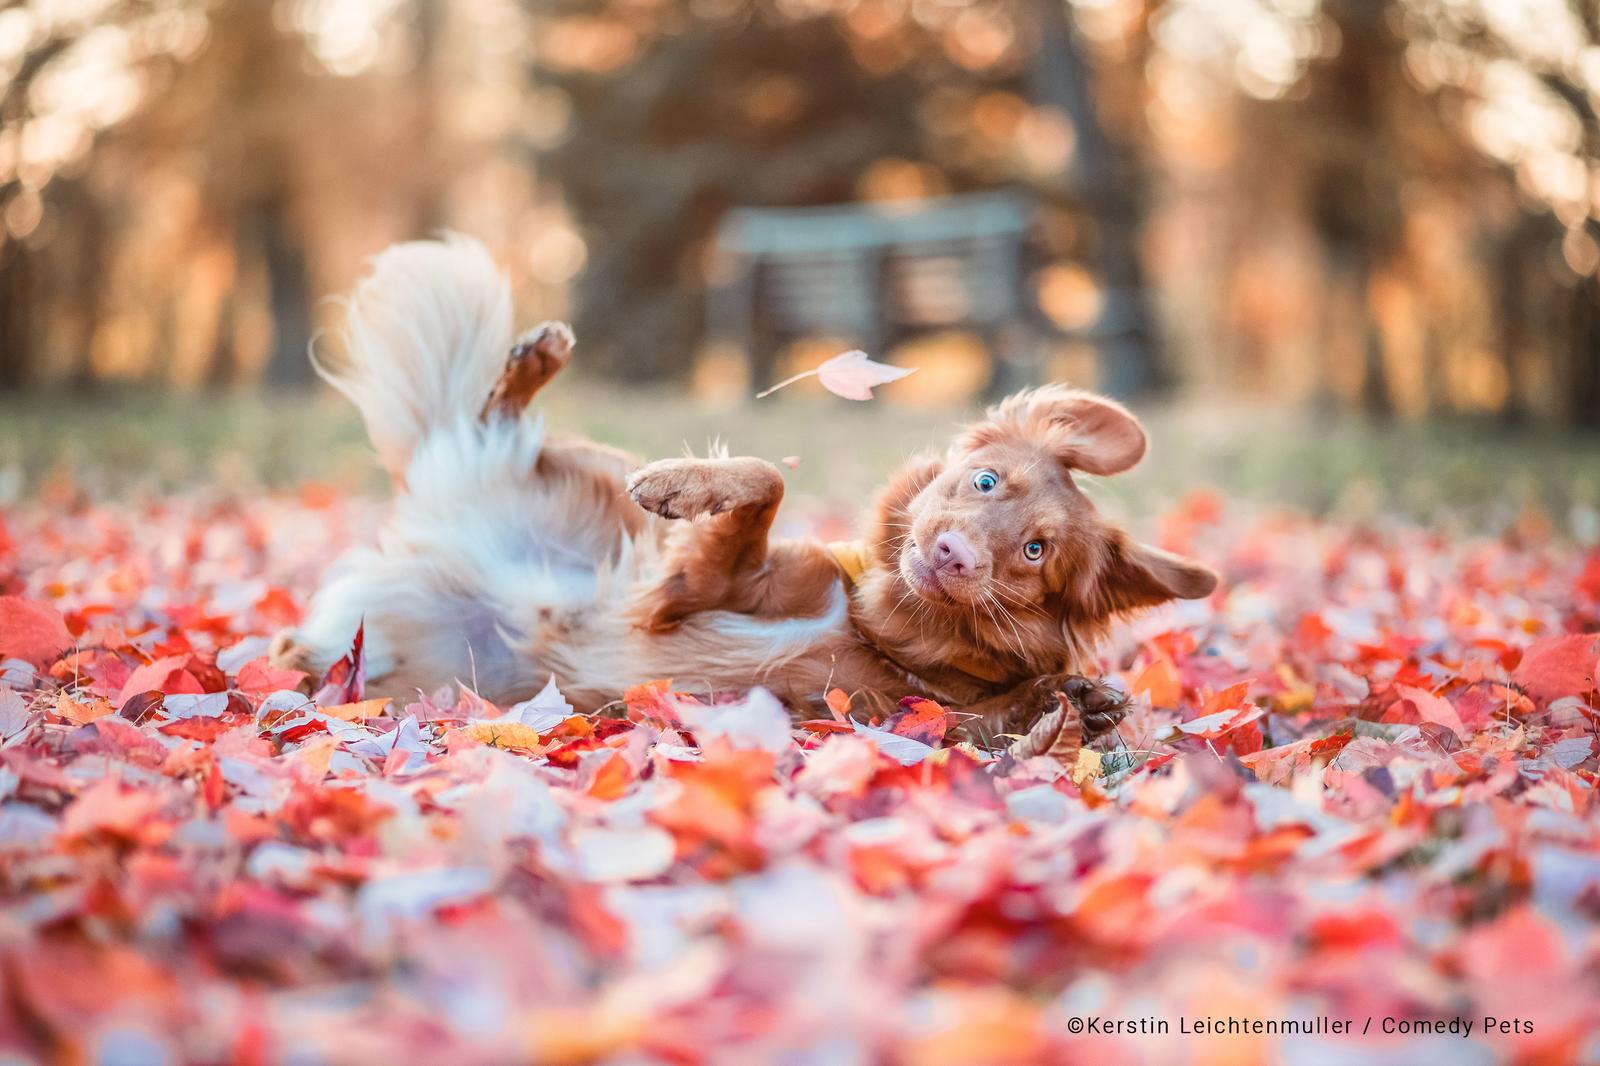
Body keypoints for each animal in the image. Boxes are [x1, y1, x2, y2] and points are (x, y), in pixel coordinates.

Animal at [268, 236, 1216, 742]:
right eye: (984, 480)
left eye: (1034, 553)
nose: (950, 555)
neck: (880, 626)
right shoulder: (699, 584)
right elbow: (761, 480)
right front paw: (680, 486)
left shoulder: (885, 713)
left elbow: (1006, 714)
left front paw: (1079, 707)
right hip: (590, 475)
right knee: (493, 421)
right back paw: (535, 359)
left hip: (412, 672)